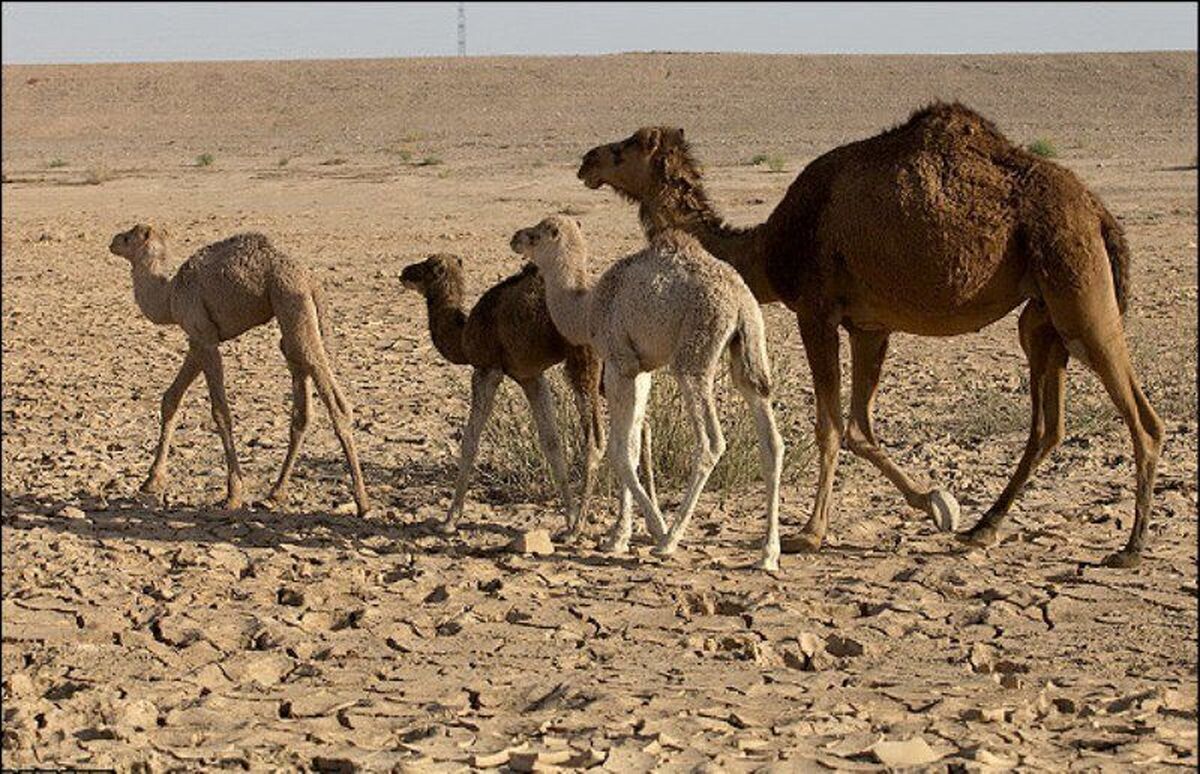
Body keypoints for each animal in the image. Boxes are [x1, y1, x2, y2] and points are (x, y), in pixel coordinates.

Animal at [580, 101, 1161, 566]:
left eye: (627, 147)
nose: (587, 160)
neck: (767, 247)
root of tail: (1098, 211)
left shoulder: (815, 310)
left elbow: (831, 425)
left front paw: (809, 534)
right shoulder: (869, 324)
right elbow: (861, 426)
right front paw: (937, 503)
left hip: (1079, 288)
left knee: (1142, 417)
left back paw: (1130, 548)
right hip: (1042, 315)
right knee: (1048, 426)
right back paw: (982, 527)